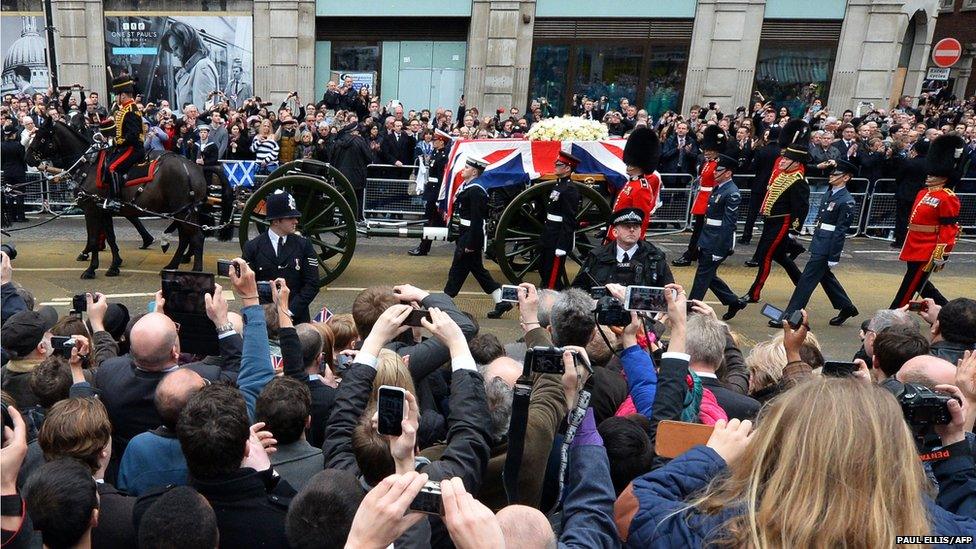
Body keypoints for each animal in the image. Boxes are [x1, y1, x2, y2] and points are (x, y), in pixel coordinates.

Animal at [26, 117, 208, 276]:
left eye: (41, 136)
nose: (28, 157)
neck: (88, 165)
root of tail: (193, 168)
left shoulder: (91, 209)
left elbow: (94, 238)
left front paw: (91, 269)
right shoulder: (104, 211)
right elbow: (111, 238)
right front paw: (114, 266)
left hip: (182, 211)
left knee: (196, 237)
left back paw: (196, 270)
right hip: (183, 211)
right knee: (186, 237)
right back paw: (172, 265)